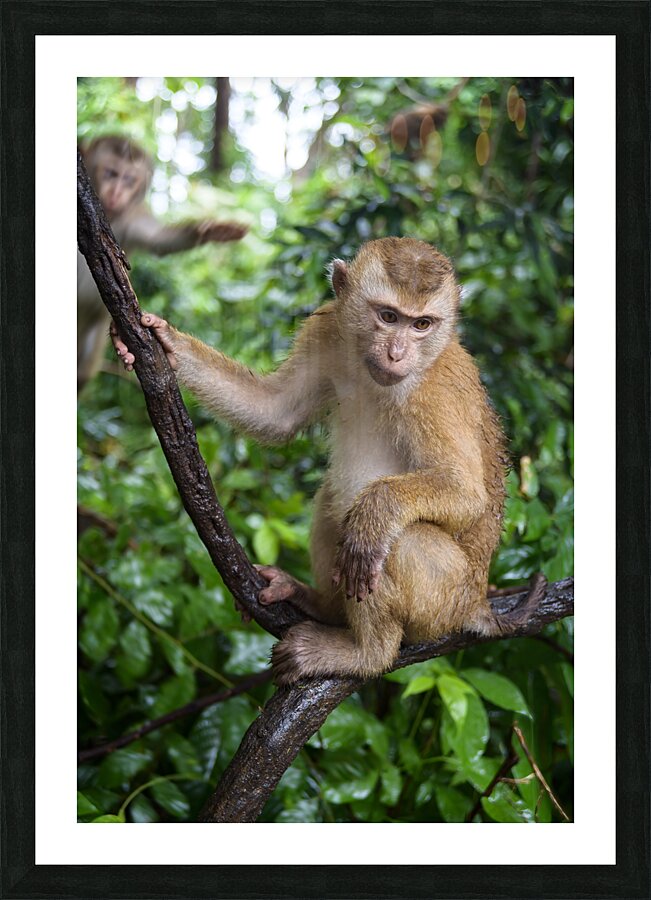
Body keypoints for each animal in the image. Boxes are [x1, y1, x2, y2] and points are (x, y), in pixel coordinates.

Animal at [77, 135, 248, 392]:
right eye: (111, 173)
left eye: (129, 179)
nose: (117, 192)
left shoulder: (133, 219)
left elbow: (161, 241)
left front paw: (211, 231)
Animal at [112, 237, 538, 685]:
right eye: (388, 316)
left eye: (422, 324)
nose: (397, 352)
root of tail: (476, 603)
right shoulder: (327, 330)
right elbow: (276, 413)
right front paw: (166, 342)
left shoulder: (434, 391)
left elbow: (465, 492)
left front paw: (375, 514)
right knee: (332, 498)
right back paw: (320, 605)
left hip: (443, 601)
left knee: (395, 539)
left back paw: (368, 651)